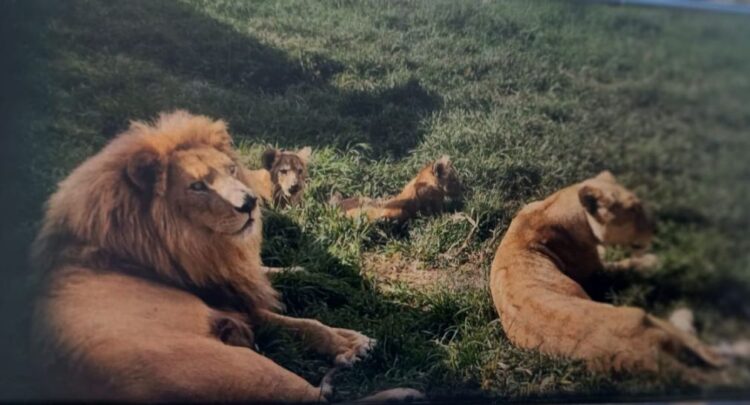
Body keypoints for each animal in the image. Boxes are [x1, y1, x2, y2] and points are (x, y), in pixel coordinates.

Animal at [30, 111, 374, 401]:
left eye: (232, 169)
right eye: (196, 186)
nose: (250, 203)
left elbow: (304, 319)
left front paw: (351, 336)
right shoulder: (228, 299)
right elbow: (295, 318)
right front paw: (348, 344)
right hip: (248, 370)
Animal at [489, 171, 725, 376]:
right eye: (633, 210)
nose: (657, 228)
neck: (554, 206)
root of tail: (650, 357)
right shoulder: (598, 272)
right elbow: (626, 264)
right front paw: (651, 260)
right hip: (644, 316)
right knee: (703, 349)